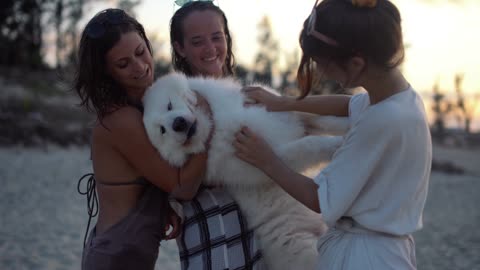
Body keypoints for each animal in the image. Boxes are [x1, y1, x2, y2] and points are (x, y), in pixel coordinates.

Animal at [142, 72, 344, 270]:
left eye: (169, 105)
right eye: (162, 131)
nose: (178, 124)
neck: (217, 127)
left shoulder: (288, 116)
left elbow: (327, 120)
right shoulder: (271, 157)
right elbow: (309, 144)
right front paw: (337, 145)